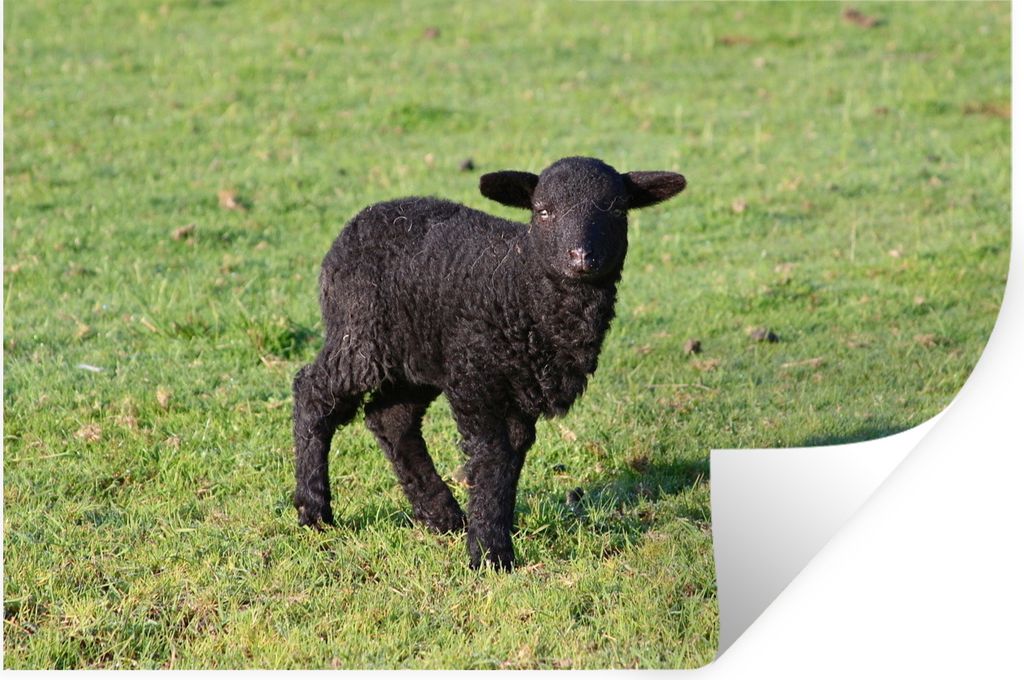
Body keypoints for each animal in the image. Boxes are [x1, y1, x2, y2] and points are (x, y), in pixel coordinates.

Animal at [292, 156, 687, 570]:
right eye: (543, 211)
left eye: (616, 210)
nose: (581, 257)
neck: (522, 286)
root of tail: (361, 219)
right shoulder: (478, 379)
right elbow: (491, 456)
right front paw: (490, 553)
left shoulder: (518, 388)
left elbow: (510, 457)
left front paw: (492, 532)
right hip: (360, 336)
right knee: (313, 393)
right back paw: (314, 508)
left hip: (420, 355)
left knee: (391, 420)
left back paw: (443, 516)